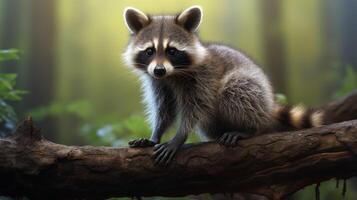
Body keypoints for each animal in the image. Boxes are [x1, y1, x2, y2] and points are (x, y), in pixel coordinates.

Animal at [121, 6, 324, 166]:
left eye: (172, 51)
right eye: (150, 51)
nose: (159, 70)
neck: (172, 74)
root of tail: (268, 106)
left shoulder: (203, 78)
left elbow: (196, 107)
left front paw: (179, 136)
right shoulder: (158, 83)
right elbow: (164, 109)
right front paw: (155, 134)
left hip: (253, 87)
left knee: (235, 90)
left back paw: (250, 129)